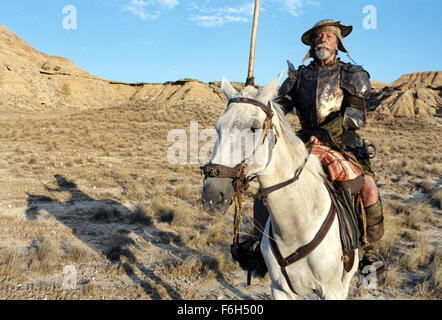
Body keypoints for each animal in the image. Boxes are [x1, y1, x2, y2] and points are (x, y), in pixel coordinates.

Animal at [201, 75, 360, 300]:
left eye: (254, 127)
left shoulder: (333, 291)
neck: (297, 225)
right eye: (218, 127)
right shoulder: (279, 288)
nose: (211, 196)